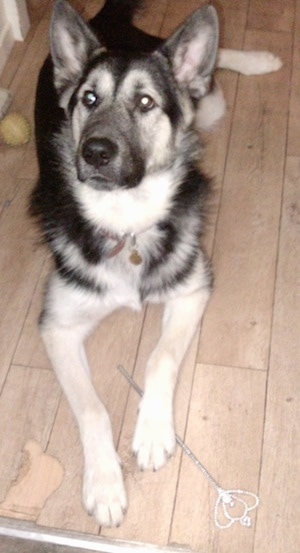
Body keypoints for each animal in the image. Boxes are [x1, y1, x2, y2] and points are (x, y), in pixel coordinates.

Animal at [31, 0, 282, 528]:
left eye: (145, 103)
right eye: (87, 99)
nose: (95, 152)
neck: (126, 220)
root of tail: (107, 22)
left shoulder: (192, 290)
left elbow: (159, 359)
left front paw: (151, 433)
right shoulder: (58, 328)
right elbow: (92, 410)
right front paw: (104, 483)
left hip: (206, 104)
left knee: (211, 70)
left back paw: (260, 60)